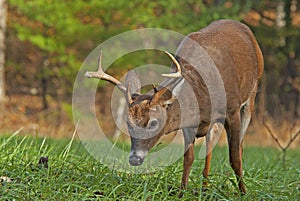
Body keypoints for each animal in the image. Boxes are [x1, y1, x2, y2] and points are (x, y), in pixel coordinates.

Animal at [85, 20, 264, 196]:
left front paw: (244, 192)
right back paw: (205, 188)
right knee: (210, 142)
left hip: (252, 93)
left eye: (153, 123)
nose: (134, 159)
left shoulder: (232, 110)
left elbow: (235, 157)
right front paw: (181, 192)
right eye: (128, 123)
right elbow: (188, 158)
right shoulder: (189, 123)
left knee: (239, 144)